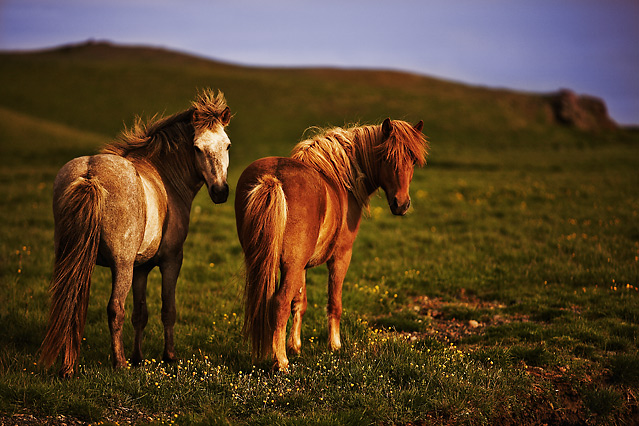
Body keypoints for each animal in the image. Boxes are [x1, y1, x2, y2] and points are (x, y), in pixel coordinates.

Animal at [39, 89, 232, 376]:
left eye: (227, 145)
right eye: (197, 147)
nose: (220, 192)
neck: (164, 178)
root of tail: (89, 174)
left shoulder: (141, 267)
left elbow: (140, 314)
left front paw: (139, 357)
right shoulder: (171, 260)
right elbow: (167, 309)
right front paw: (169, 356)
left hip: (72, 258)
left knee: (70, 303)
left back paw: (68, 368)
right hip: (122, 266)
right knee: (114, 308)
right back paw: (119, 363)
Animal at [236, 116, 430, 370]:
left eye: (413, 160)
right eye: (386, 158)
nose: (402, 204)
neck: (341, 180)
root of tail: (272, 179)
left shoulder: (301, 266)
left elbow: (300, 302)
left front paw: (295, 345)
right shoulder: (341, 256)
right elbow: (334, 302)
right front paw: (335, 345)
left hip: (264, 261)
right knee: (279, 303)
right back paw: (282, 362)